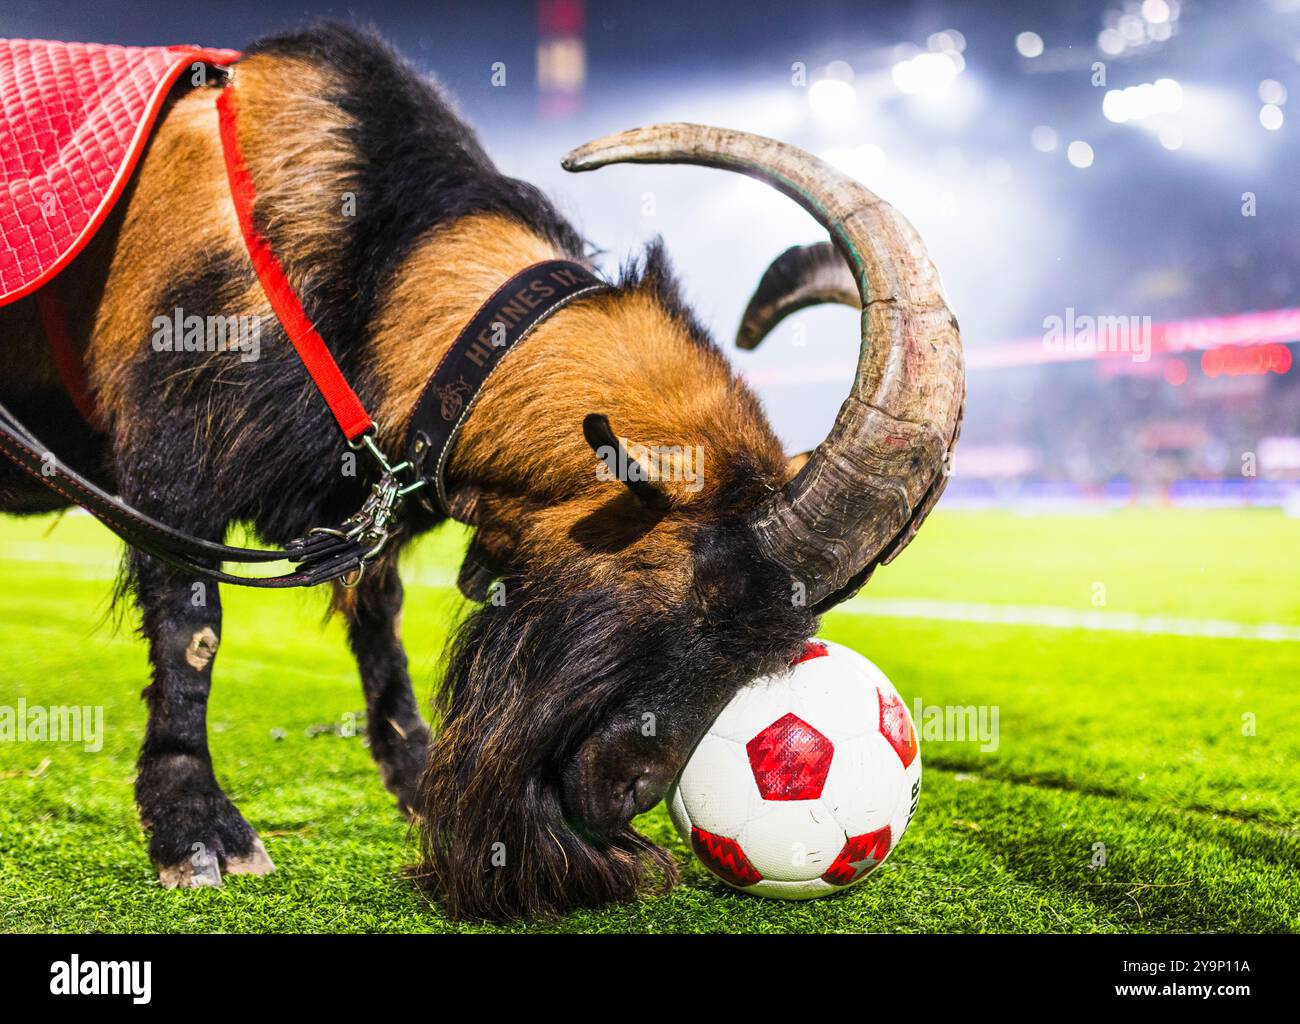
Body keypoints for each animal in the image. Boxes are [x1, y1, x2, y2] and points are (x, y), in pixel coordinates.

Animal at [2, 25, 967, 920]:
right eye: (701, 601)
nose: (627, 798)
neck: (377, 272)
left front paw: (415, 774)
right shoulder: (170, 458)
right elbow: (193, 627)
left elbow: (377, 612)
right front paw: (197, 830)